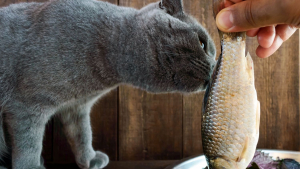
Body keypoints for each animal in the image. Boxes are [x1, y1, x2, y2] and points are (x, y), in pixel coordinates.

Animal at [0, 0, 216, 168]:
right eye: (202, 43)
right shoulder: (27, 105)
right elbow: (29, 144)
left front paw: (89, 159)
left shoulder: (77, 107)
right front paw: (31, 166)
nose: (215, 66)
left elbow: (82, 133)